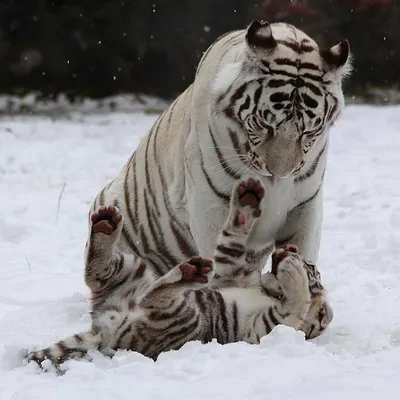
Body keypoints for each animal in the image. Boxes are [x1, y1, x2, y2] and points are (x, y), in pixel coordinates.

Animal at [85, 21, 350, 334]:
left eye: (309, 131)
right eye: (265, 124)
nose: (279, 172)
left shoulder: (305, 205)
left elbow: (304, 250)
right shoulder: (210, 200)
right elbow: (223, 257)